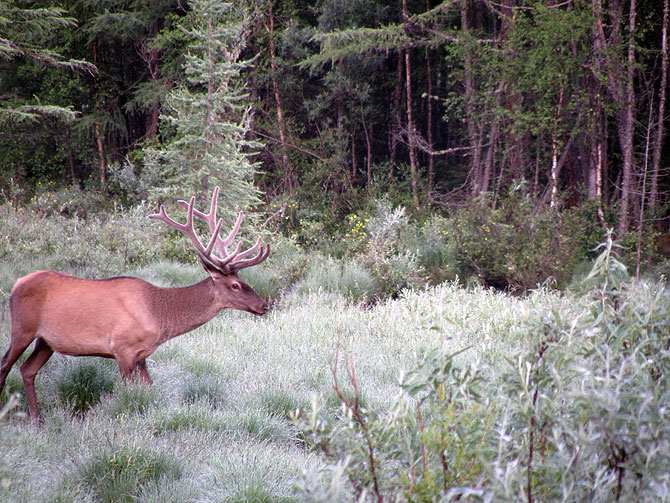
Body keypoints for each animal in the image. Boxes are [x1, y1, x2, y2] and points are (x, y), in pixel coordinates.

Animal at [0, 189, 268, 426]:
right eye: (236, 285)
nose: (264, 305)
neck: (158, 314)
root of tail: (16, 285)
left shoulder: (141, 355)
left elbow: (149, 388)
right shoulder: (122, 348)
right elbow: (128, 393)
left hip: (46, 341)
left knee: (27, 370)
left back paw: (37, 420)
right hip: (22, 329)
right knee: (5, 366)